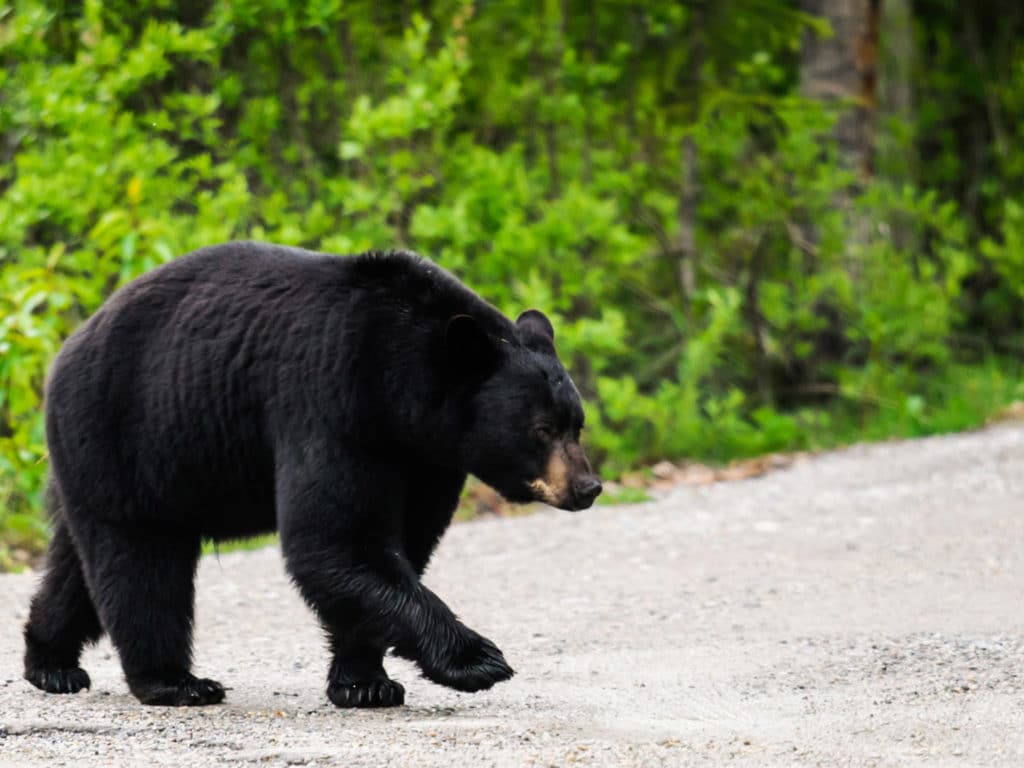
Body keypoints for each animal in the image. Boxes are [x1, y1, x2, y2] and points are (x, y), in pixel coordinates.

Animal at [22, 241, 602, 708]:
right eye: (543, 429)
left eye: (577, 423)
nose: (588, 487)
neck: (399, 383)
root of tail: (69, 346)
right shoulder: (331, 404)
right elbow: (336, 539)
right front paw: (477, 659)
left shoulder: (426, 460)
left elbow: (397, 546)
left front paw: (364, 682)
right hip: (129, 434)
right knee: (141, 561)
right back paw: (176, 682)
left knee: (79, 563)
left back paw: (51, 663)